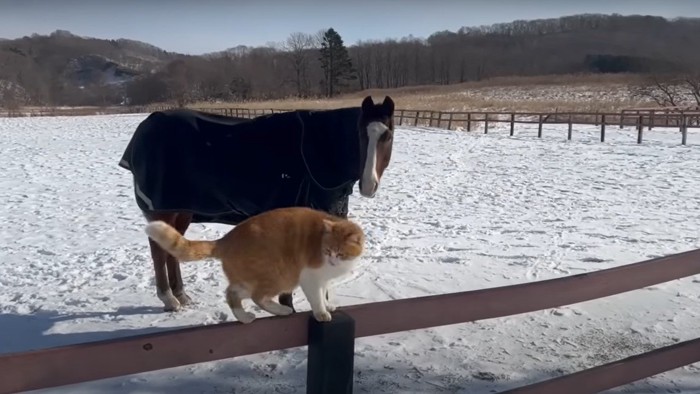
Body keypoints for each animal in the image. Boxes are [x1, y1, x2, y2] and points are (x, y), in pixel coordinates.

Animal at [117, 94, 396, 310]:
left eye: (388, 136)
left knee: (170, 248)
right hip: (162, 210)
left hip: (182, 211)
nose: (368, 185)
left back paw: (181, 296)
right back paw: (169, 299)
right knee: (158, 252)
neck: (319, 151)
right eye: (360, 134)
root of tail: (145, 127)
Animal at [141, 206, 360, 324]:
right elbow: (316, 298)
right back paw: (282, 310)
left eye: (339, 253)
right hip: (279, 276)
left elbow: (324, 293)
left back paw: (244, 317)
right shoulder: (310, 277)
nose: (332, 260)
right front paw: (322, 313)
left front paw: (329, 305)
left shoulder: (323, 279)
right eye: (328, 251)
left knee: (231, 294)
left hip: (248, 280)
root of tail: (225, 240)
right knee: (258, 297)